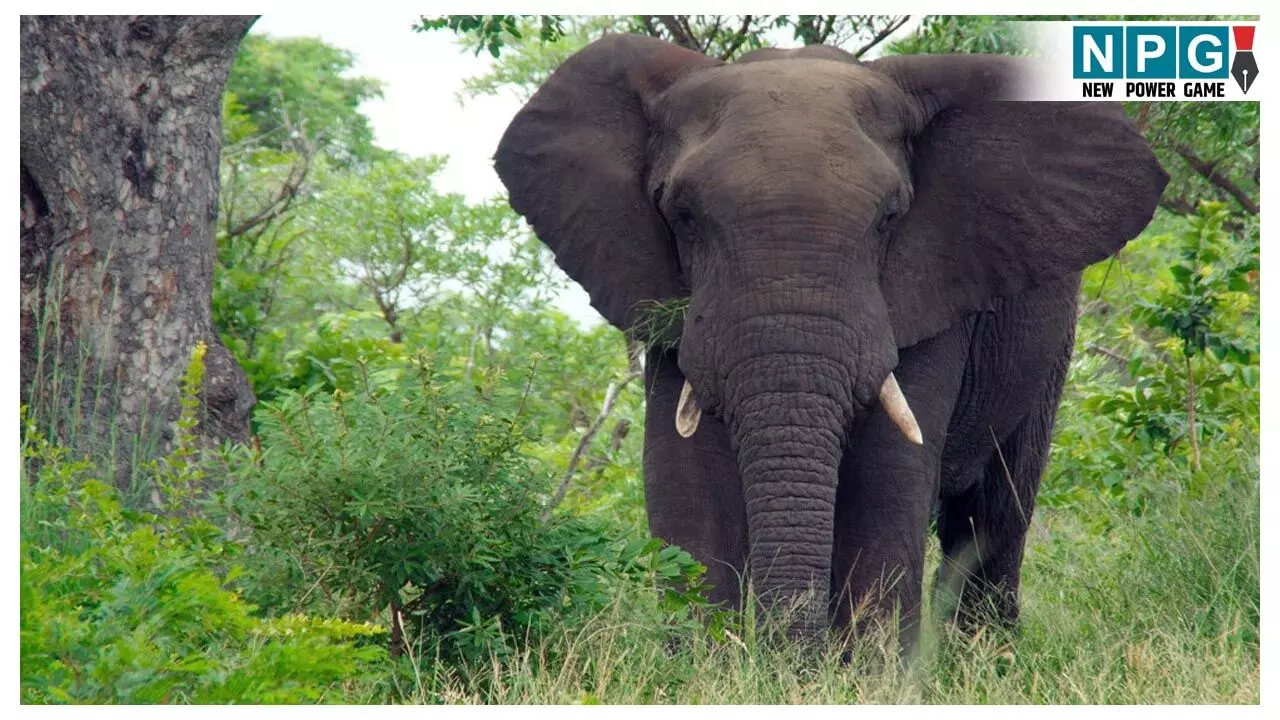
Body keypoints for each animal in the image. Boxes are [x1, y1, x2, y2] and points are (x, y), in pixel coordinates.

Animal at [493, 34, 1168, 644]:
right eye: (681, 216)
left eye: (891, 217)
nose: (783, 662)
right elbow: (684, 478)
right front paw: (704, 671)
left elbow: (886, 473)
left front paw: (870, 678)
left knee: (995, 511)